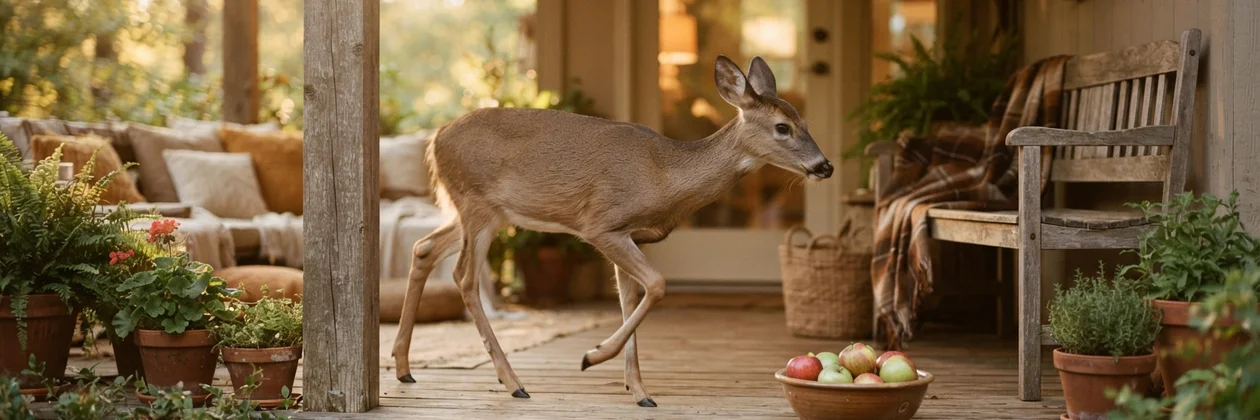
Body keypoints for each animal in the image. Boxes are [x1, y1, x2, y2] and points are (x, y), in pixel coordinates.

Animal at [390, 55, 833, 407]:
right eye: (782, 127)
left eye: (805, 121)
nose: (825, 166)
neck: (663, 175)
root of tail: (435, 138)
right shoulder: (601, 224)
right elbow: (657, 284)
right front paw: (593, 356)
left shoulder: (629, 235)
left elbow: (630, 298)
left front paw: (638, 390)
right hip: (477, 204)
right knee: (464, 276)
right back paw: (513, 382)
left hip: (482, 211)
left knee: (424, 248)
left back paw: (404, 367)